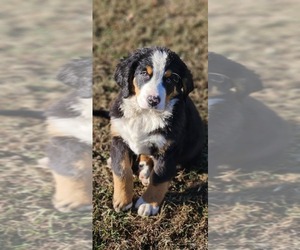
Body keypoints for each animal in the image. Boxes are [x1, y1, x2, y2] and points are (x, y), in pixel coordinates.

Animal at [109, 47, 205, 217]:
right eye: (144, 73)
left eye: (170, 79)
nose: (153, 100)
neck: (145, 115)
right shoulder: (119, 138)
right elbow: (122, 170)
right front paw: (122, 200)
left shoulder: (168, 149)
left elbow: (159, 178)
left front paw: (148, 203)